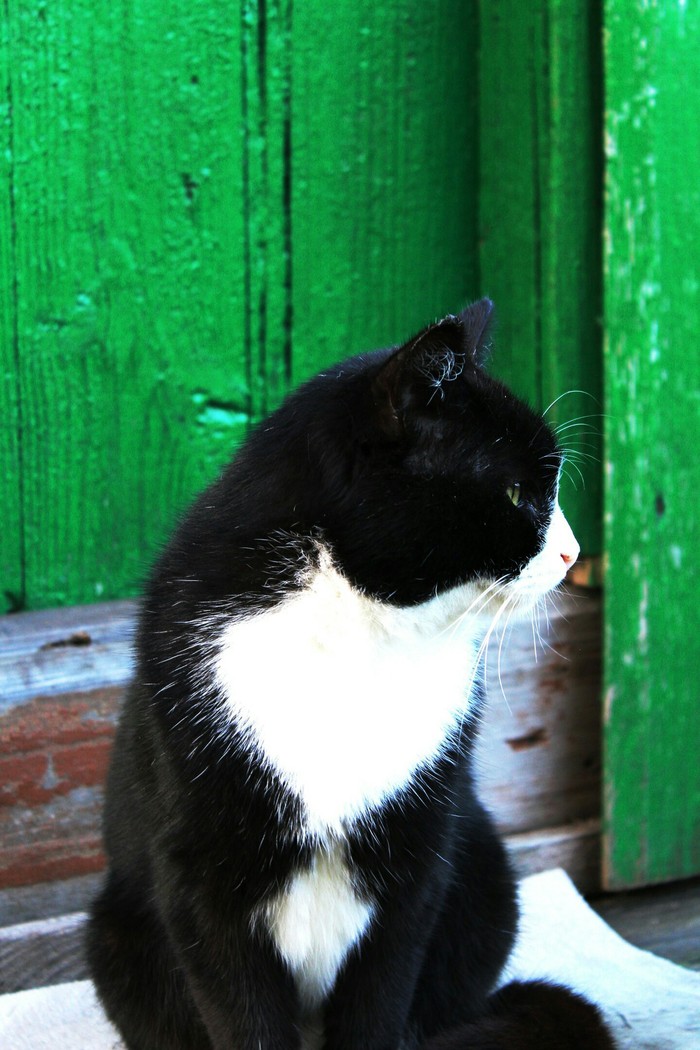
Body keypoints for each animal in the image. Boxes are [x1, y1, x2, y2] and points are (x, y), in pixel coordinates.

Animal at [86, 298, 612, 1050]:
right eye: (517, 492)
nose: (571, 554)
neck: (360, 634)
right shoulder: (201, 881)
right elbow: (244, 1015)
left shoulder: (417, 864)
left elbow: (379, 1003)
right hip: (115, 936)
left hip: (486, 873)